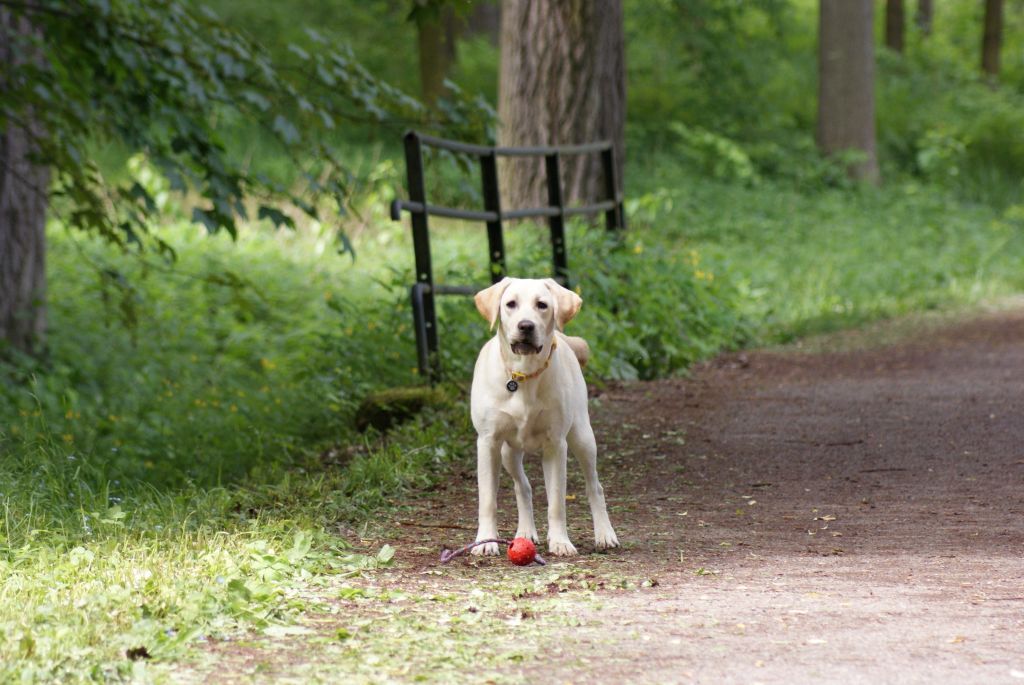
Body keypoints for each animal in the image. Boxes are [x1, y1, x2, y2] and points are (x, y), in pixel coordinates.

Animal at [468, 274, 618, 552]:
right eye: (510, 304)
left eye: (542, 305)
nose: (526, 326)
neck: (523, 374)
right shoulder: (488, 442)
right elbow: (488, 500)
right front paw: (485, 542)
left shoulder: (556, 445)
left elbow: (557, 501)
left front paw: (560, 542)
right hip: (508, 453)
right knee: (523, 487)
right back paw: (526, 532)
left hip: (583, 437)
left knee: (595, 487)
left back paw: (605, 534)